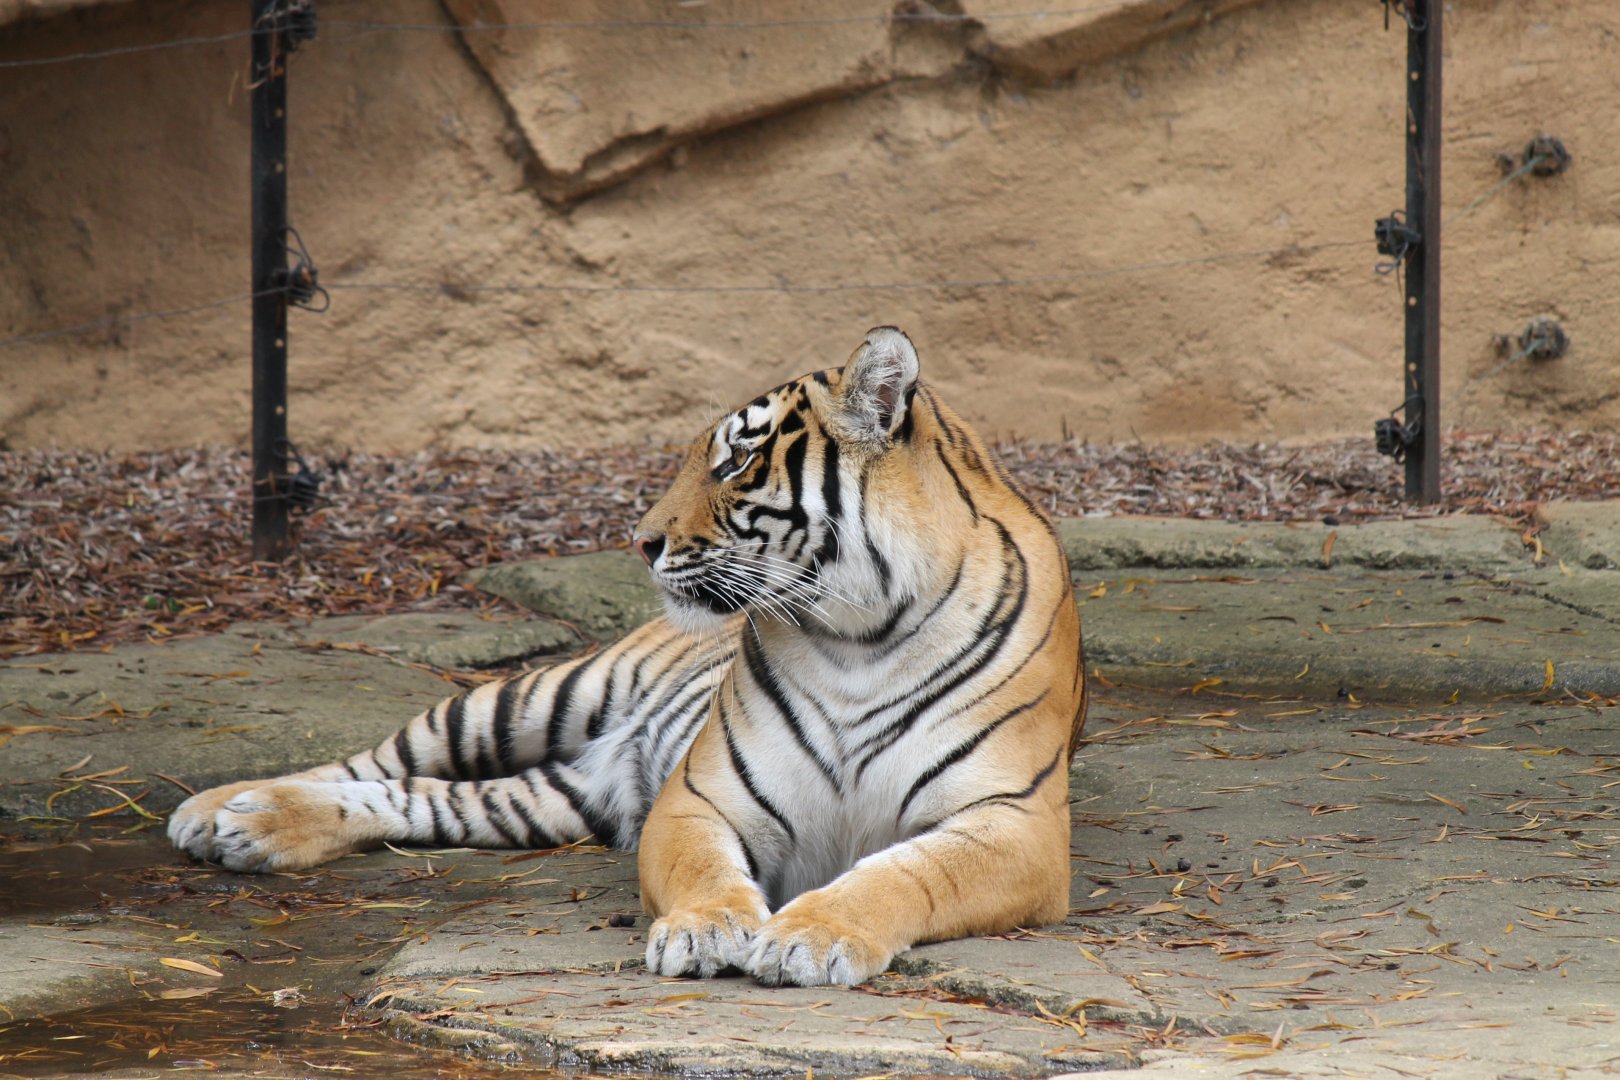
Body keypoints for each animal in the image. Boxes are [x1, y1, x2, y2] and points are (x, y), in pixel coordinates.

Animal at [168, 326, 1086, 987]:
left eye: (738, 459)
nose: (641, 541)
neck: (859, 636)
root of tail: (602, 765)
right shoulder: (697, 798)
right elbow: (705, 870)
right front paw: (708, 930)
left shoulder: (1015, 824)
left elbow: (901, 874)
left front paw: (815, 936)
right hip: (529, 699)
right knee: (373, 761)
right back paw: (222, 809)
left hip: (546, 798)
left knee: (411, 798)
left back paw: (250, 826)